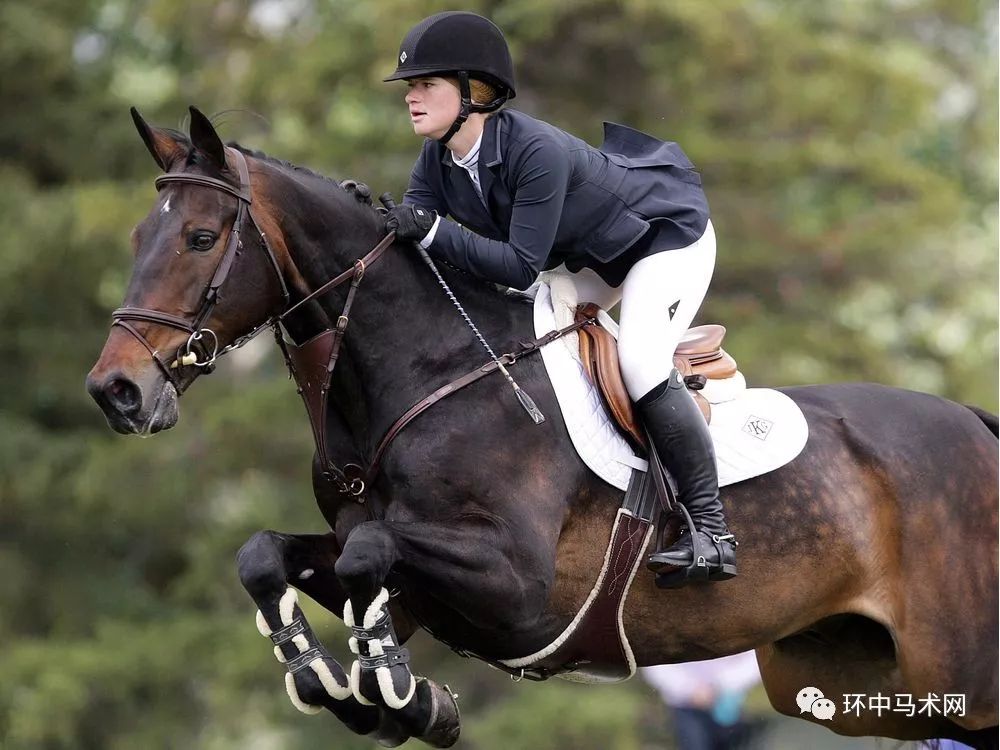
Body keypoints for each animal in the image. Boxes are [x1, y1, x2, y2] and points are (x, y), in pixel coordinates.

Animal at [88, 108, 1000, 748]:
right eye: (137, 235)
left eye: (202, 237)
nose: (116, 392)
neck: (427, 372)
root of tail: (974, 424)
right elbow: (268, 556)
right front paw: (347, 687)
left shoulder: (514, 586)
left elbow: (370, 551)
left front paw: (400, 694)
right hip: (855, 682)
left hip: (959, 672)